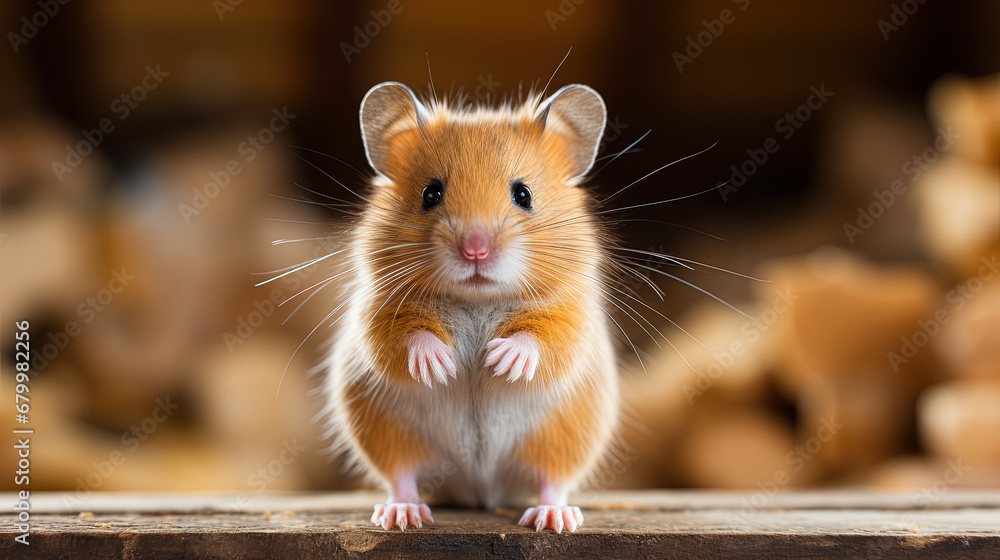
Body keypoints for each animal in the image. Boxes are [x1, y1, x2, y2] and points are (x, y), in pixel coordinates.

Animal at [325, 81, 618, 533]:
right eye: (430, 193)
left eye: (523, 194)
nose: (475, 250)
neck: (476, 300)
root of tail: (481, 491)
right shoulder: (377, 311)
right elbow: (406, 336)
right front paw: (441, 366)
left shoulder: (572, 313)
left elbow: (543, 336)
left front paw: (499, 361)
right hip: (386, 431)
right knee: (402, 475)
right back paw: (402, 514)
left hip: (566, 435)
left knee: (552, 479)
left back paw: (552, 517)